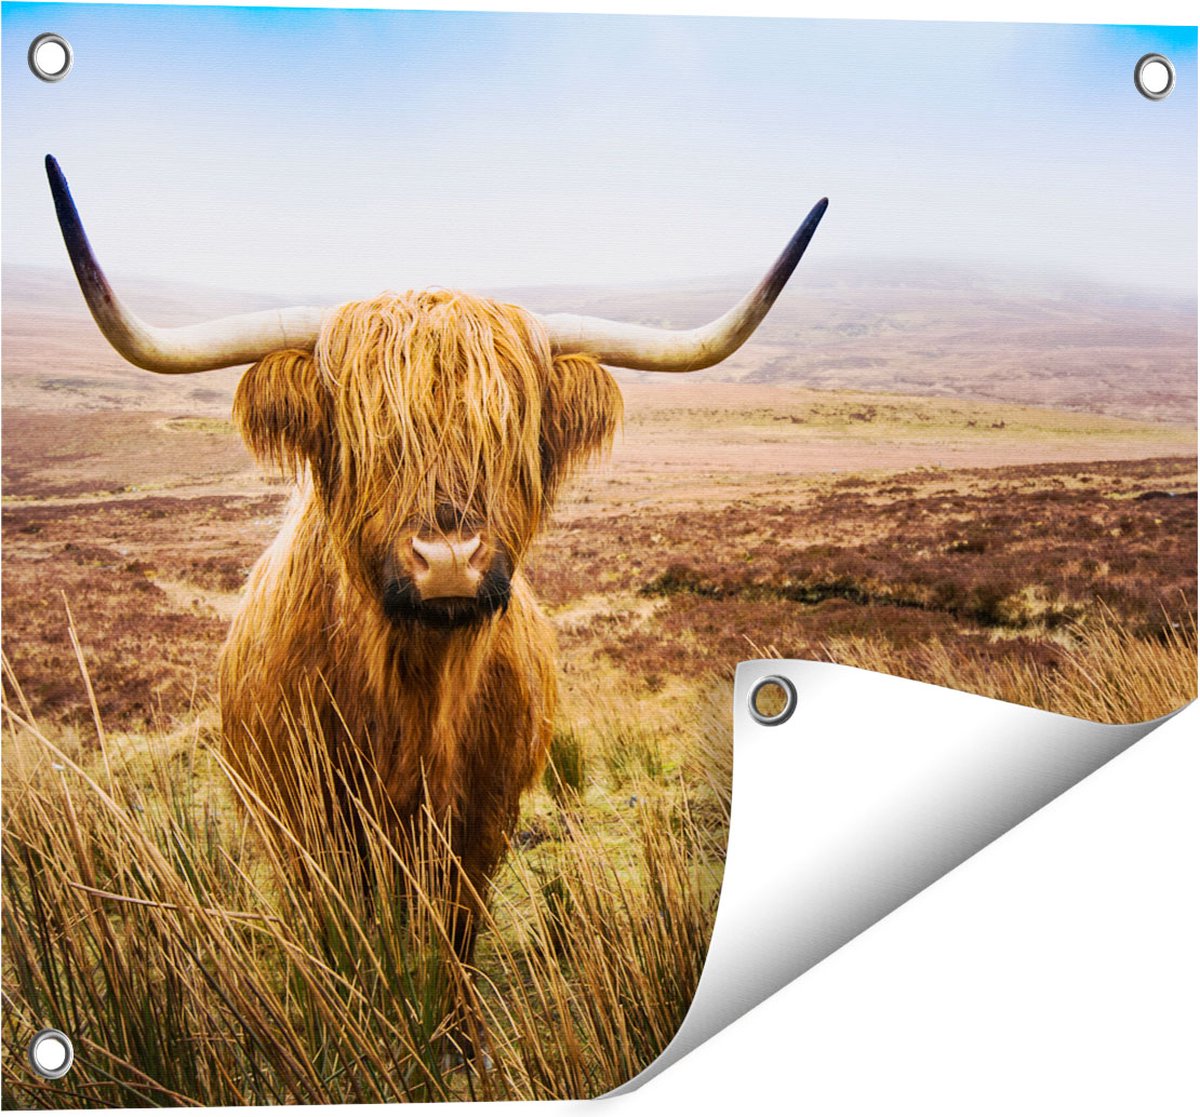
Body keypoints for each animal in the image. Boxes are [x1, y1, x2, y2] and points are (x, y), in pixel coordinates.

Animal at [45, 154, 826, 993]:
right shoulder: (308, 826)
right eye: (368, 434)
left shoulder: (482, 824)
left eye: (508, 430)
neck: (413, 696)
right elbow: (344, 940)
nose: (449, 559)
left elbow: (454, 937)